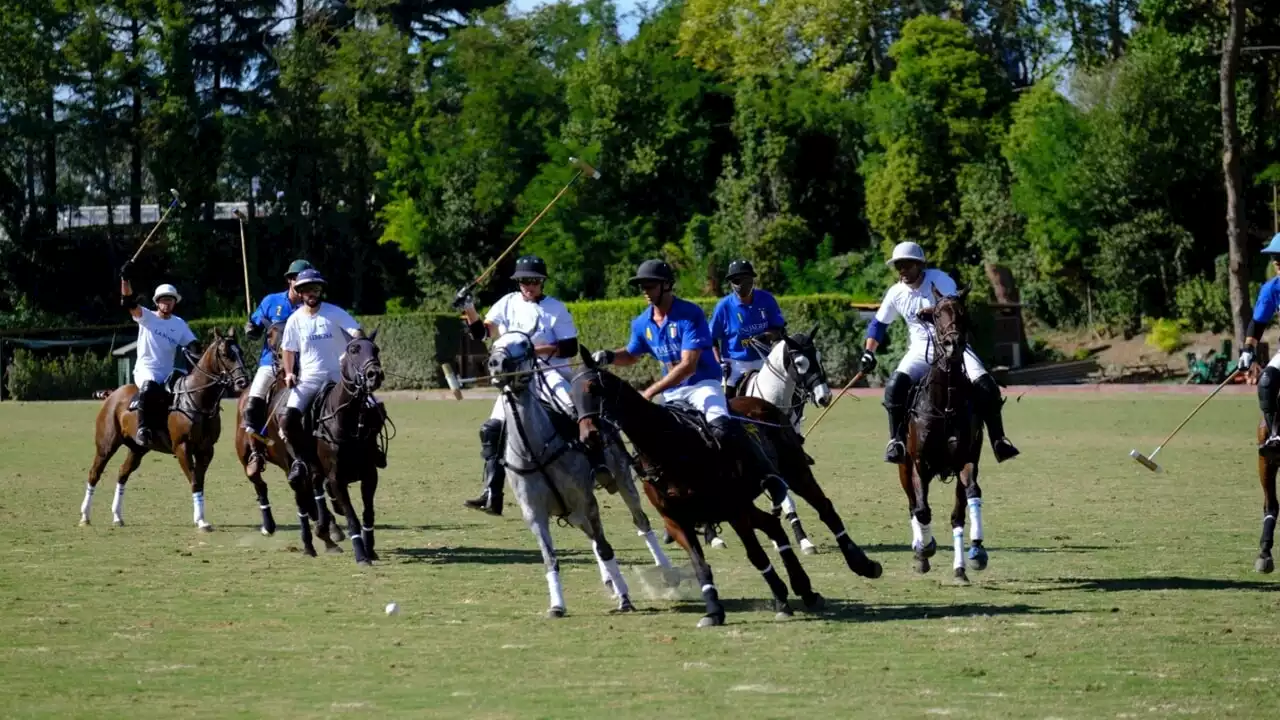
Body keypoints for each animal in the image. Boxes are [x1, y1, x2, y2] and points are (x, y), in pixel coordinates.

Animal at [81, 327, 249, 530]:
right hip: (106, 445)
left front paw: (200, 518)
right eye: (225, 354)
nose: (243, 382)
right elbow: (194, 481)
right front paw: (200, 521)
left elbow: (199, 482)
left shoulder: (207, 449)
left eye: (241, 352)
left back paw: (117, 516)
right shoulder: (182, 447)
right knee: (94, 473)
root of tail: (112, 394)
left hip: (137, 449)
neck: (197, 400)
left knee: (122, 473)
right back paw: (85, 516)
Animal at [232, 320, 348, 556]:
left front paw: (330, 528)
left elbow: (319, 486)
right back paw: (268, 525)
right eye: (268, 334)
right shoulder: (291, 461)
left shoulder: (312, 457)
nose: (279, 356)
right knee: (259, 482)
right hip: (245, 454)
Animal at [901, 285, 988, 584]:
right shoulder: (919, 464)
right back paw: (920, 549)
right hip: (903, 467)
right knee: (913, 505)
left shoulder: (966, 460)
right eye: (937, 314)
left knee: (957, 513)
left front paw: (976, 552)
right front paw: (924, 548)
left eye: (963, 313)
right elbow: (922, 510)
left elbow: (968, 499)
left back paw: (960, 567)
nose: (953, 344)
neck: (946, 404)